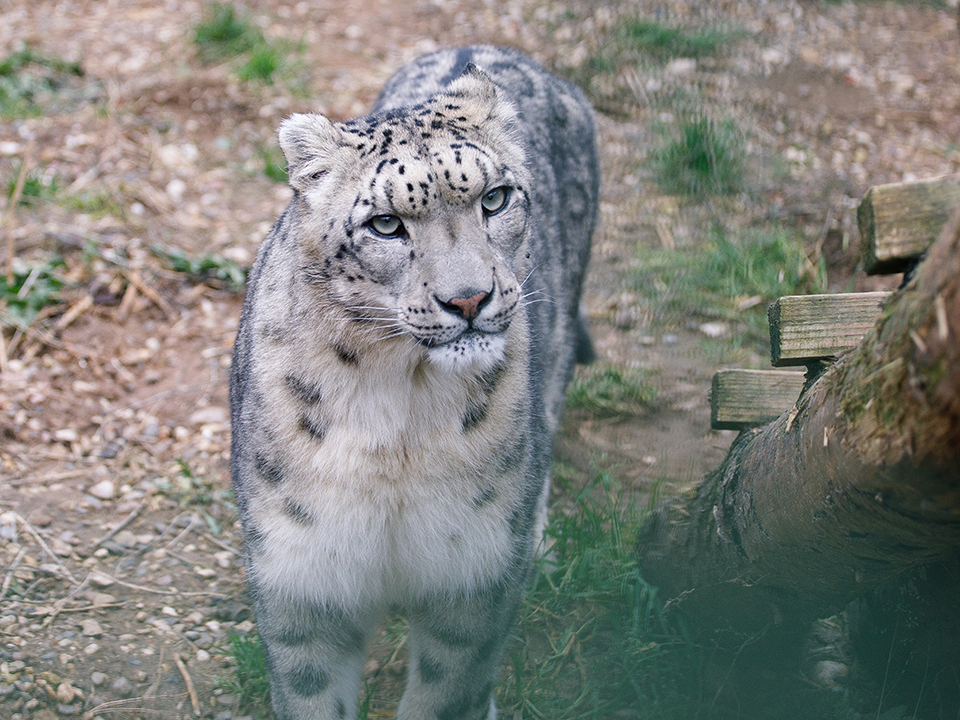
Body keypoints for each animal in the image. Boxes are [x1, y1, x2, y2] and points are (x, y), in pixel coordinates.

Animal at [229, 46, 596, 720]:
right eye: (385, 224)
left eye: (495, 198)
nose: (469, 298)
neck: (400, 415)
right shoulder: (301, 579)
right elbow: (311, 692)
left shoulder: (473, 574)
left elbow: (448, 690)